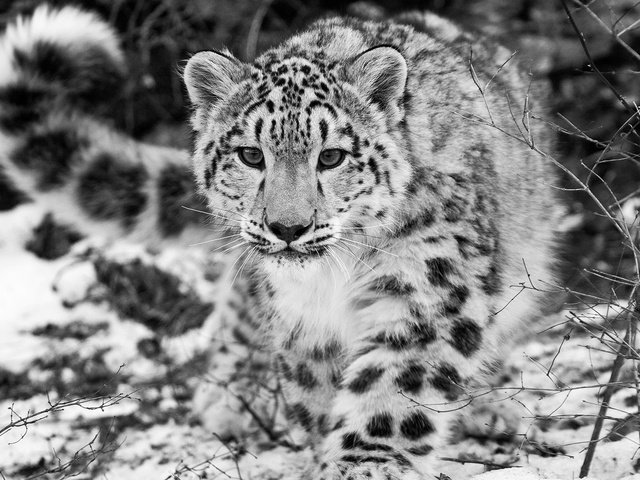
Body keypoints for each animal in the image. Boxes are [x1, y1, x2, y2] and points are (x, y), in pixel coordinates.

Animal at [1, 4, 556, 480]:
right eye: (251, 154)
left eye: (331, 157)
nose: (287, 228)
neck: (332, 278)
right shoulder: (300, 321)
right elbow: (317, 393)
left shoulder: (426, 286)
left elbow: (394, 388)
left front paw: (364, 465)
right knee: (237, 307)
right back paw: (230, 395)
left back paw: (490, 408)